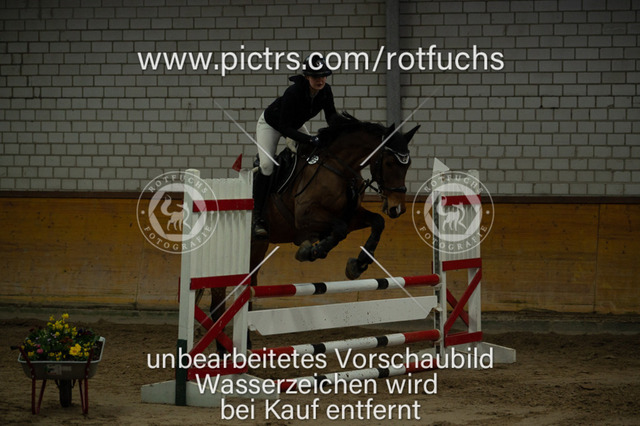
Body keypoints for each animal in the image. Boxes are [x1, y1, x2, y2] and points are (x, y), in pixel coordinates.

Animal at [205, 113, 419, 347]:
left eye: (408, 165)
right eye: (389, 162)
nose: (397, 208)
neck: (339, 167)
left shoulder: (351, 215)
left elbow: (377, 222)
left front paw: (358, 264)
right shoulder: (306, 217)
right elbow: (339, 229)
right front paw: (312, 251)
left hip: (257, 248)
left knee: (248, 290)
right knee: (217, 304)